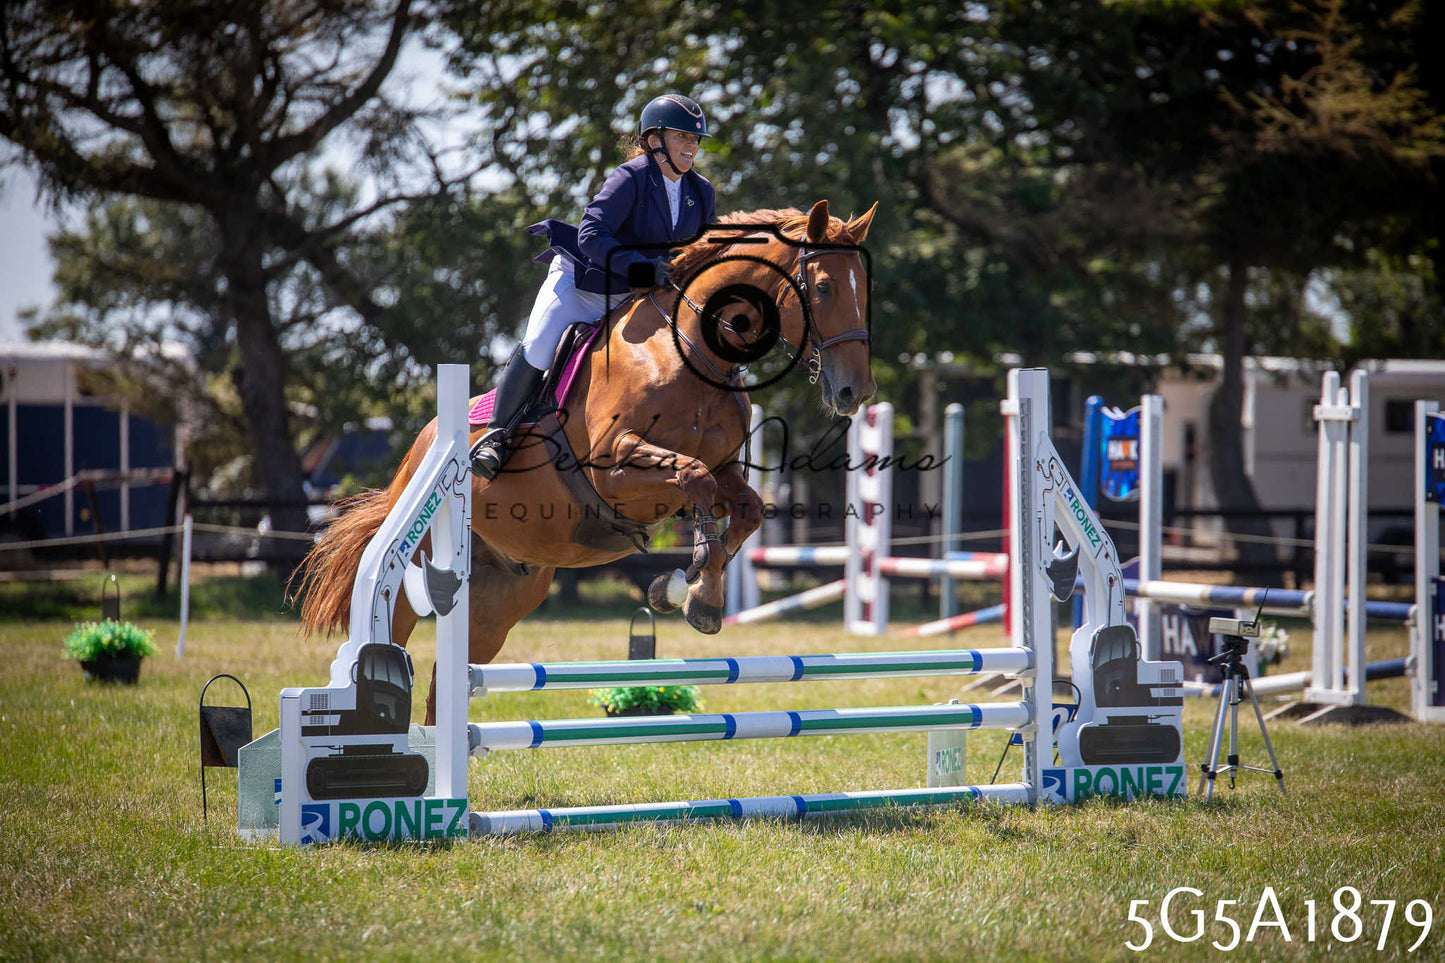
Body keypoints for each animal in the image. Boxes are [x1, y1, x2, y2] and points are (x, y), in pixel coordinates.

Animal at [293, 199, 878, 724]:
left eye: (863, 290)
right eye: (823, 287)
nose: (856, 391)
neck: (691, 351)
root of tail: (424, 444)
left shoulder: (726, 468)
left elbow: (745, 507)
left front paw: (690, 593)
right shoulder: (614, 467)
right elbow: (694, 478)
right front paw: (691, 590)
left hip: (504, 595)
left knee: (447, 689)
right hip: (415, 571)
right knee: (388, 634)